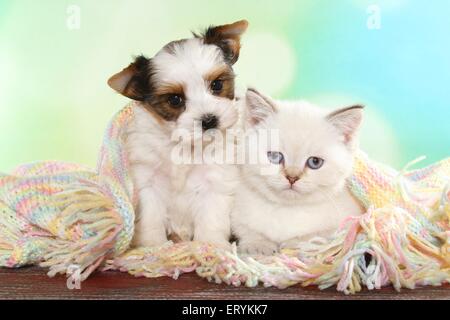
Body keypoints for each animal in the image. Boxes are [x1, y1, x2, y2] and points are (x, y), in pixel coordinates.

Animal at [108, 20, 250, 248]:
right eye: (175, 100)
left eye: (217, 85)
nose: (209, 119)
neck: (185, 144)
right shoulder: (148, 180)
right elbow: (150, 215)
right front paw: (152, 245)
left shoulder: (216, 178)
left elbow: (212, 214)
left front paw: (211, 244)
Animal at [232, 88, 366, 255]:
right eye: (275, 156)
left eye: (315, 162)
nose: (292, 177)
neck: (286, 210)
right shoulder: (237, 212)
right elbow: (247, 230)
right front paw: (259, 245)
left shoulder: (349, 221)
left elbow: (316, 236)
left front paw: (293, 243)